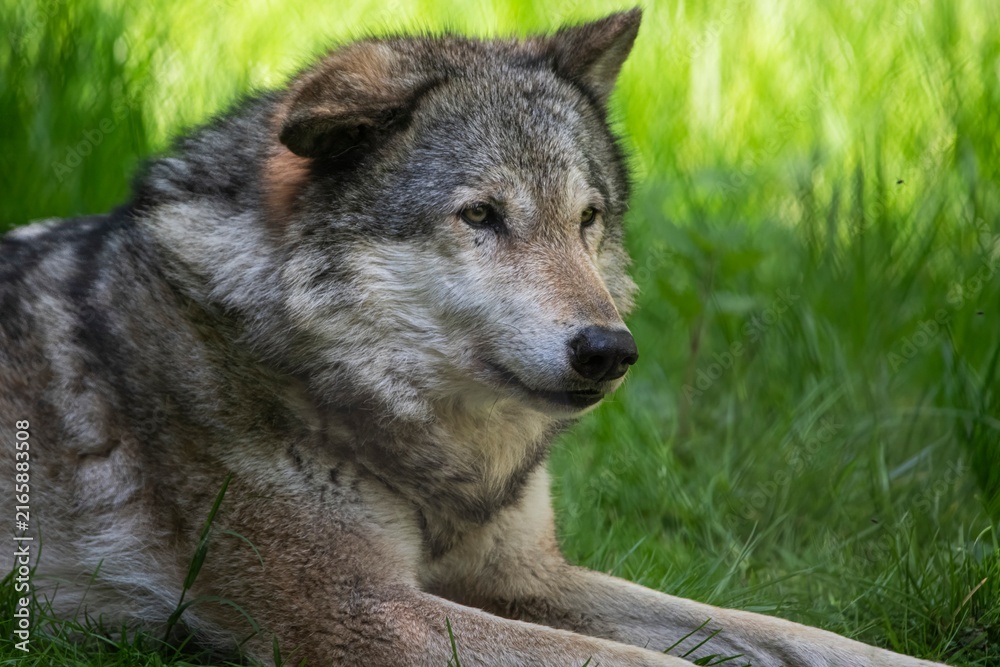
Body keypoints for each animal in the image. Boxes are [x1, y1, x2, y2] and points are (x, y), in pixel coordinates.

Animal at [0, 9, 947, 667]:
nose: (609, 350)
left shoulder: (527, 577)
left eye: (587, 219)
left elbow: (784, 630)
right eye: (482, 216)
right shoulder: (361, 611)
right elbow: (650, 662)